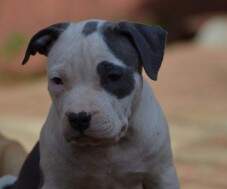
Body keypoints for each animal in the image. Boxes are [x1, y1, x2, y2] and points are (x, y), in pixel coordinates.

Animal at [12, 19, 179, 189]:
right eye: (57, 81)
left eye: (113, 76)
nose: (78, 118)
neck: (106, 148)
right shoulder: (55, 182)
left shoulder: (162, 176)